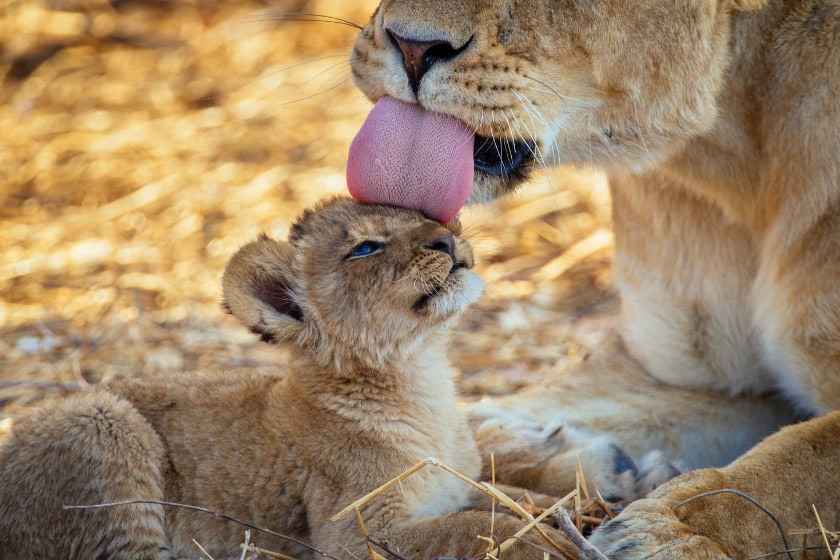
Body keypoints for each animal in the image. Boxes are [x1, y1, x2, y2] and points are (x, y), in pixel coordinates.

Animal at [0, 197, 577, 560]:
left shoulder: (463, 482)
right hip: (102, 418)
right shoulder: (352, 532)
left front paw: (559, 512)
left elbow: (510, 497)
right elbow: (472, 527)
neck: (423, 383)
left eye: (422, 215)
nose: (446, 237)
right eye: (365, 249)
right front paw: (552, 544)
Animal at [346, 0, 840, 557]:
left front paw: (670, 533)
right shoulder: (695, 378)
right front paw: (579, 461)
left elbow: (796, 458)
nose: (412, 47)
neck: (738, 159)